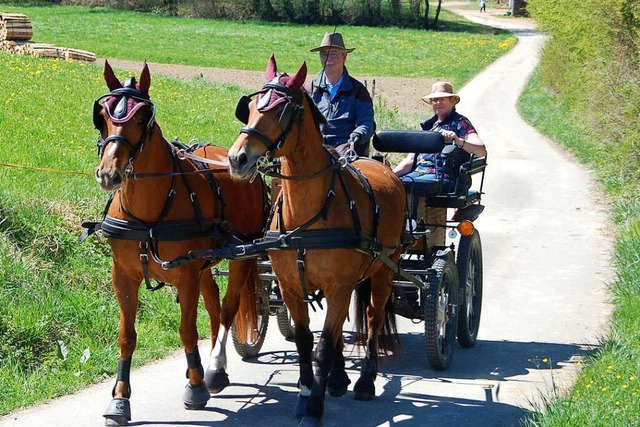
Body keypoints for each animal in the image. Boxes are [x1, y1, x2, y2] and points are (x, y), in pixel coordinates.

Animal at [92, 61, 268, 426]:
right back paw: (214, 368)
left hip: (240, 255)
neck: (150, 215)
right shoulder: (123, 276)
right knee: (213, 305)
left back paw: (212, 370)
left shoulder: (186, 274)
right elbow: (126, 336)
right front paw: (119, 399)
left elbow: (187, 329)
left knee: (227, 309)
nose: (108, 174)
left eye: (142, 119)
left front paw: (195, 386)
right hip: (205, 263)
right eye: (102, 116)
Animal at [226, 55, 404, 426]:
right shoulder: (291, 286)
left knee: (373, 315)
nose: (237, 159)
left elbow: (322, 346)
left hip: (384, 269)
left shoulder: (338, 285)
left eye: (281, 110)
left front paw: (314, 408)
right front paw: (307, 392)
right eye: (250, 107)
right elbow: (308, 342)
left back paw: (365, 380)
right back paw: (338, 378)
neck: (307, 214)